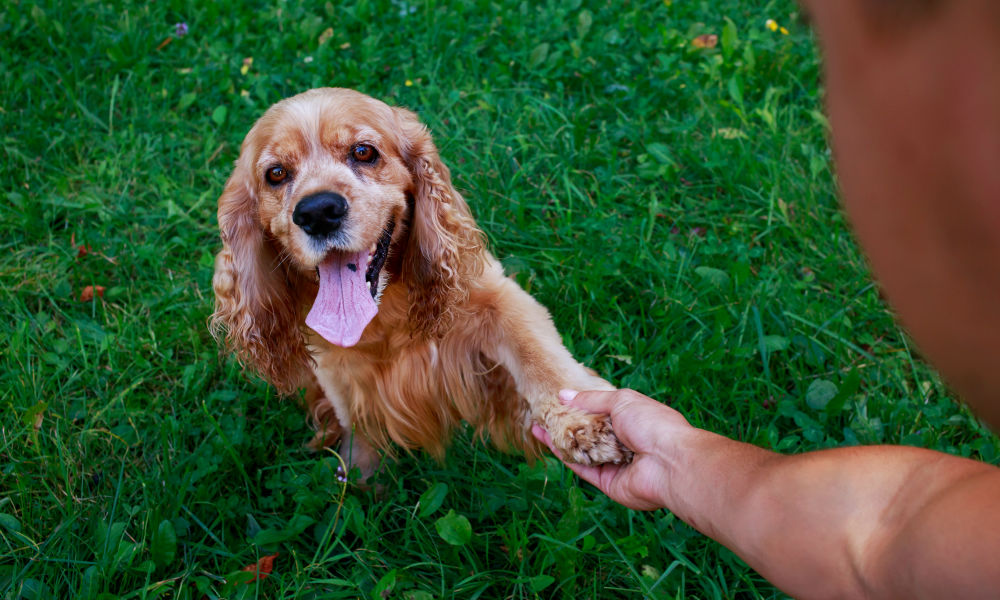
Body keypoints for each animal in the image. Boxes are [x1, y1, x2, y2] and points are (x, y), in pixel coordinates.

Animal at [211, 88, 632, 478]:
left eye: (363, 152)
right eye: (276, 174)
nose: (317, 212)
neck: (383, 313)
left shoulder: (492, 295)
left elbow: (537, 353)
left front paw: (579, 421)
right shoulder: (332, 365)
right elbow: (357, 422)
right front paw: (361, 480)